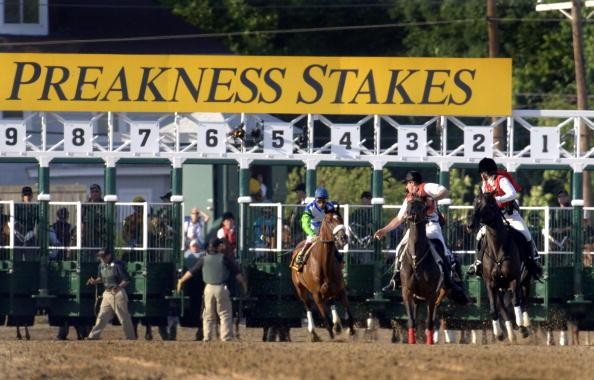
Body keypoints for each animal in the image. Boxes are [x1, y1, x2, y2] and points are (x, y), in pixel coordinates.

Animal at [290, 208, 354, 342]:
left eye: (340, 218)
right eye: (329, 221)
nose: (343, 238)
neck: (323, 263)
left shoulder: (341, 289)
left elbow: (348, 312)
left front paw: (350, 330)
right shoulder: (316, 295)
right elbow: (324, 316)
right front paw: (331, 333)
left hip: (330, 289)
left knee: (331, 301)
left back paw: (337, 325)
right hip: (300, 289)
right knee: (308, 306)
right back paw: (313, 332)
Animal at [398, 199, 444, 344]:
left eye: (422, 206)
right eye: (408, 204)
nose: (410, 211)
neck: (416, 258)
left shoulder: (432, 293)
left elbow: (429, 320)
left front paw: (429, 341)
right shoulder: (407, 291)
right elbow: (411, 319)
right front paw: (411, 341)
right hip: (416, 296)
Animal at [470, 191, 528, 340]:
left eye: (489, 205)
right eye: (475, 203)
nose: (470, 225)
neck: (497, 249)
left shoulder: (514, 278)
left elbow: (516, 301)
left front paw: (521, 326)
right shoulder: (490, 283)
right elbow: (493, 309)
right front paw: (499, 333)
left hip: (523, 279)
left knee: (521, 299)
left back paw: (524, 324)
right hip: (499, 287)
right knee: (502, 305)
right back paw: (510, 331)